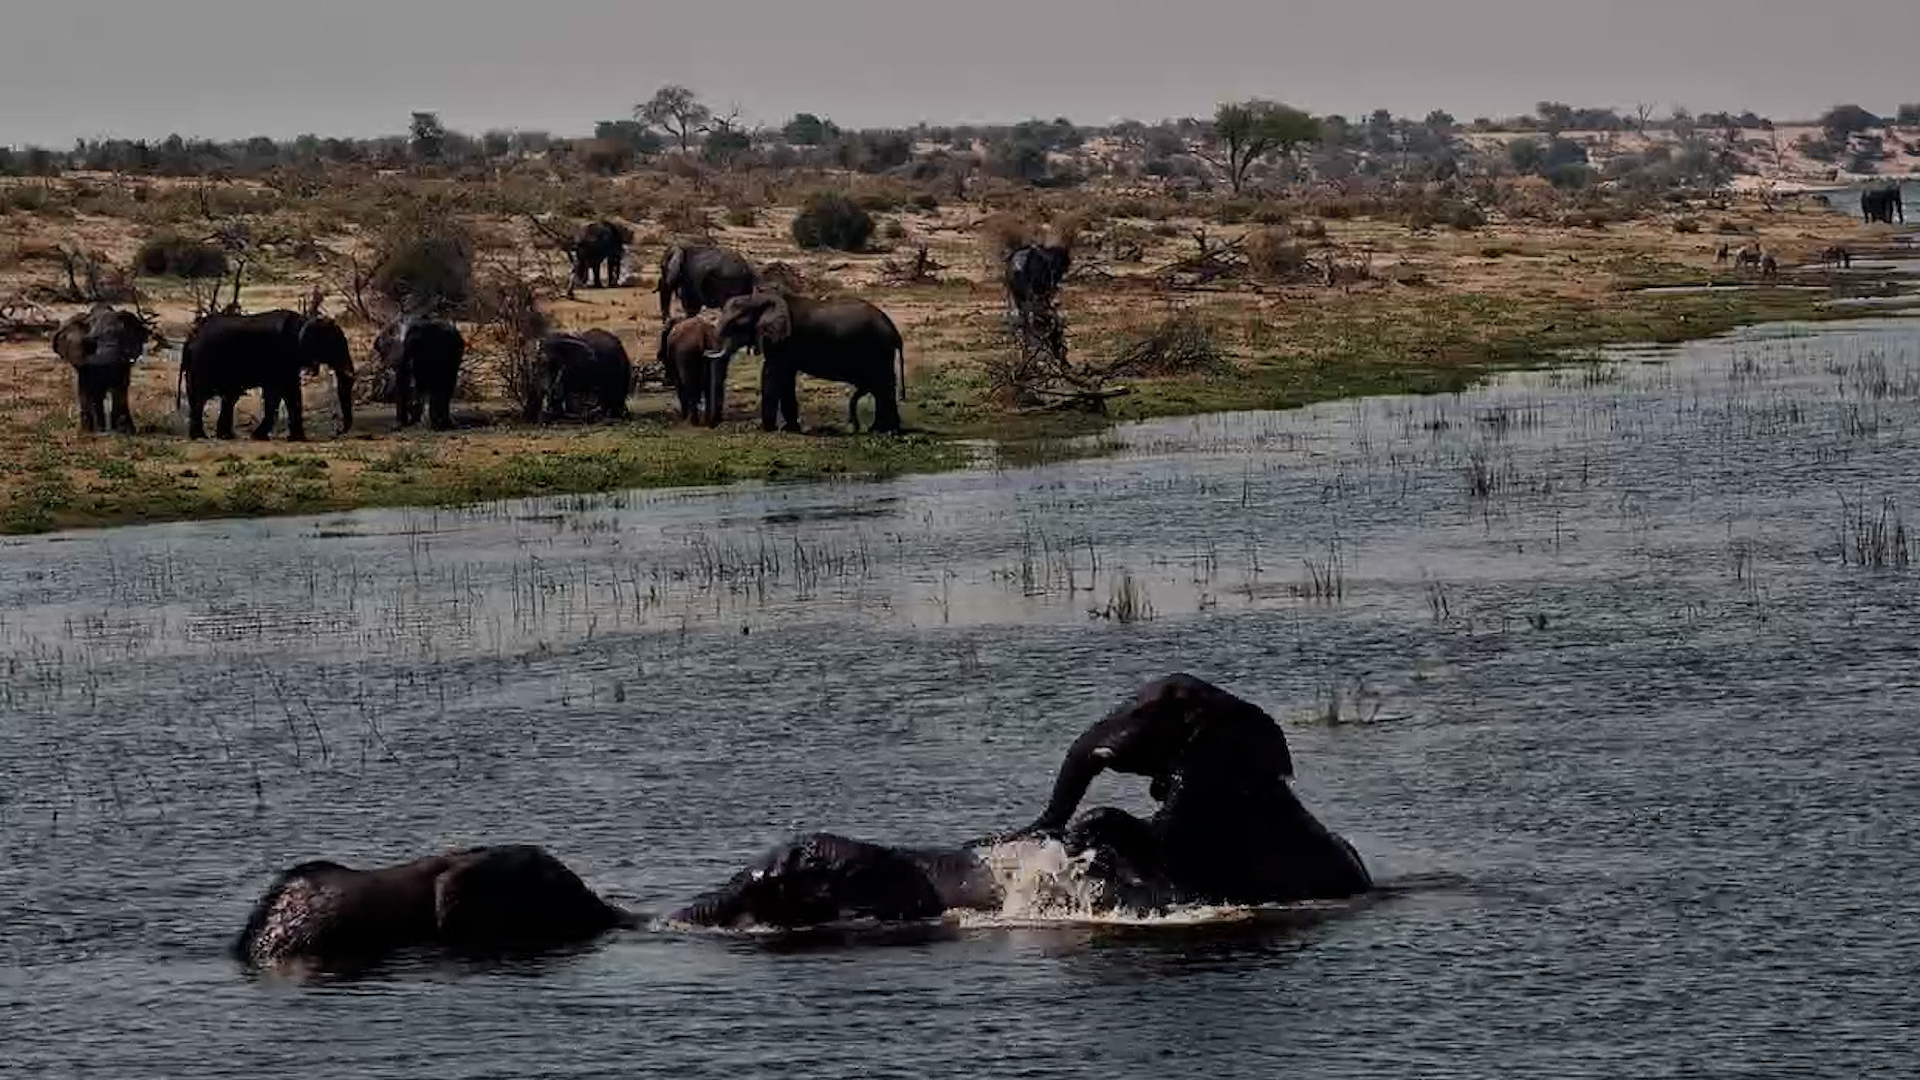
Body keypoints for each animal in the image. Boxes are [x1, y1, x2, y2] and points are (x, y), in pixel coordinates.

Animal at [51, 304, 152, 434]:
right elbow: (88, 389)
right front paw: (91, 431)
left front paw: (125, 431)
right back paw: (93, 430)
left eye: (123, 336)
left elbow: (120, 387)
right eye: (92, 340)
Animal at [180, 310, 354, 440]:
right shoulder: (280, 356)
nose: (337, 432)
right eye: (335, 346)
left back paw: (223, 436)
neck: (304, 321)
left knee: (224, 397)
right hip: (203, 363)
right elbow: (283, 393)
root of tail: (191, 338)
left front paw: (291, 438)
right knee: (201, 397)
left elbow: (283, 393)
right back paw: (200, 436)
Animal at [706, 291, 907, 434]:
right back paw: (881, 430)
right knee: (882, 386)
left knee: (882, 385)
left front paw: (767, 429)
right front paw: (790, 429)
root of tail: (896, 333)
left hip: (878, 350)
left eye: (734, 325)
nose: (713, 425)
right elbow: (785, 379)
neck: (761, 298)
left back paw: (885, 431)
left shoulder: (783, 341)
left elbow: (772, 375)